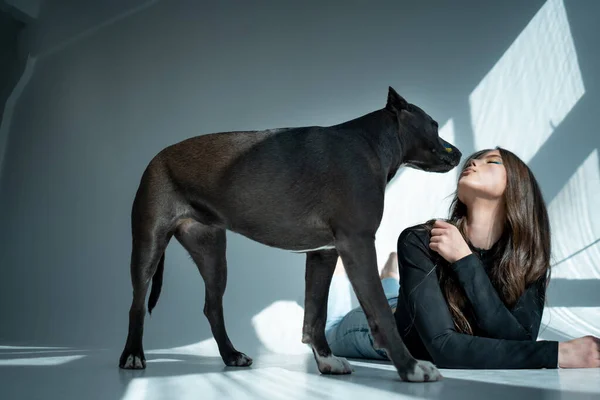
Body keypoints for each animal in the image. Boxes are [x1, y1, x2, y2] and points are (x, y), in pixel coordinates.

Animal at [119, 86, 462, 382]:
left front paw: (326, 360)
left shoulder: (324, 253)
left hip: (212, 254)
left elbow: (316, 315)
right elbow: (379, 310)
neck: (371, 143)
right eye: (433, 124)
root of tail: (156, 158)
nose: (458, 153)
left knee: (212, 307)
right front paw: (412, 367)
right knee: (136, 303)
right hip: (148, 245)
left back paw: (231, 355)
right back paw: (133, 355)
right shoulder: (358, 242)